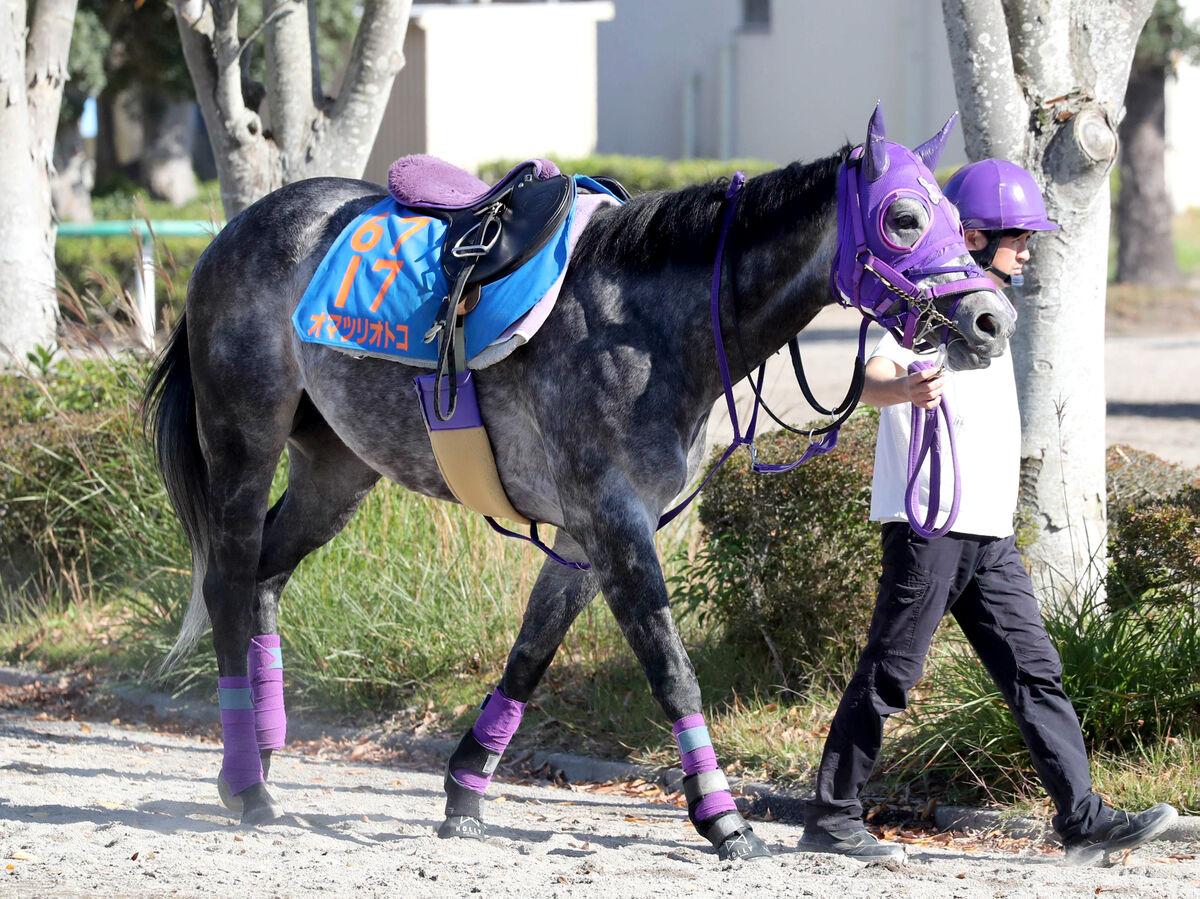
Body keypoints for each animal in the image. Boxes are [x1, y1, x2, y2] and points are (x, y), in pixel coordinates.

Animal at [145, 108, 1017, 859]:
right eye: (903, 217)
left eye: (955, 215)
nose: (991, 320)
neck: (645, 322)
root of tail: (233, 234)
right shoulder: (611, 517)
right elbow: (670, 665)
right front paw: (723, 816)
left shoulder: (584, 530)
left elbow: (531, 653)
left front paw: (465, 793)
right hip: (243, 438)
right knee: (229, 585)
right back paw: (246, 783)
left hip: (339, 467)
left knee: (266, 578)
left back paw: (260, 758)